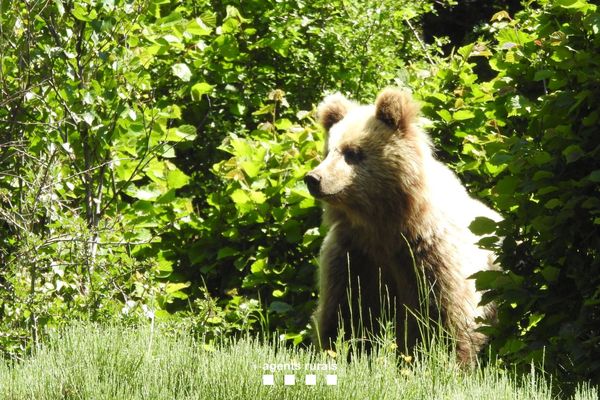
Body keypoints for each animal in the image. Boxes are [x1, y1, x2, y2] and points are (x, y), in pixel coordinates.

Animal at [304, 89, 502, 364]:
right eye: (328, 151)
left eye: (352, 152)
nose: (314, 178)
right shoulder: (355, 255)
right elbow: (346, 310)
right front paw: (339, 351)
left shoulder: (430, 254)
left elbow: (448, 316)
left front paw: (445, 360)